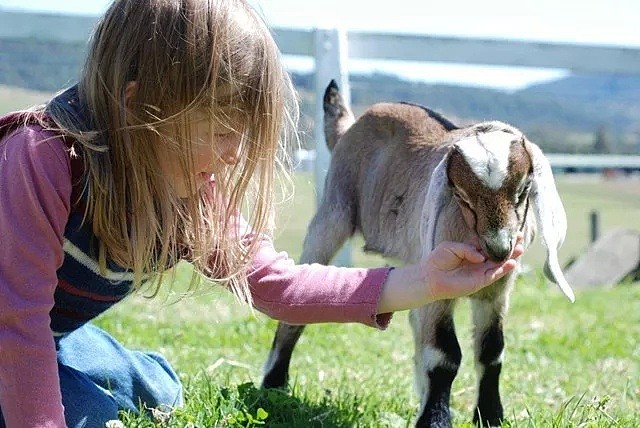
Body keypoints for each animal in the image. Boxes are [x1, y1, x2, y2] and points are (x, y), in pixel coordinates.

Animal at [262, 81, 572, 428]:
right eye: (461, 195)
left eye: (524, 189)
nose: (499, 248)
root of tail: (347, 129)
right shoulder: (441, 285)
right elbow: (444, 355)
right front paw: (435, 419)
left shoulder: (495, 291)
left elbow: (492, 351)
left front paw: (491, 416)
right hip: (333, 211)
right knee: (296, 305)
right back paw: (273, 385)